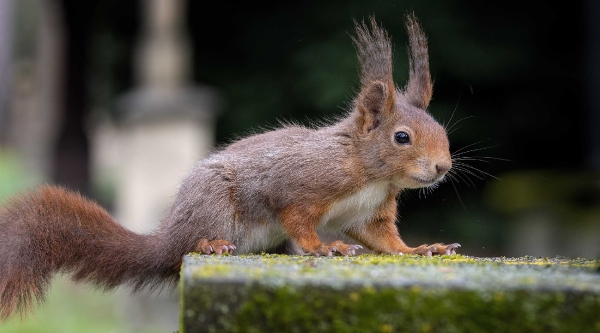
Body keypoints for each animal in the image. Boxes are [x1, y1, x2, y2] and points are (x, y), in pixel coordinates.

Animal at [0, 15, 460, 320]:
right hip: (214, 204)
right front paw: (324, 247)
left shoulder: (371, 213)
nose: (443, 167)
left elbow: (385, 240)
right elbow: (298, 218)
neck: (370, 174)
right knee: (193, 243)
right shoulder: (298, 185)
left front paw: (423, 249)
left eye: (440, 128)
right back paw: (211, 245)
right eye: (402, 137)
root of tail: (169, 235)